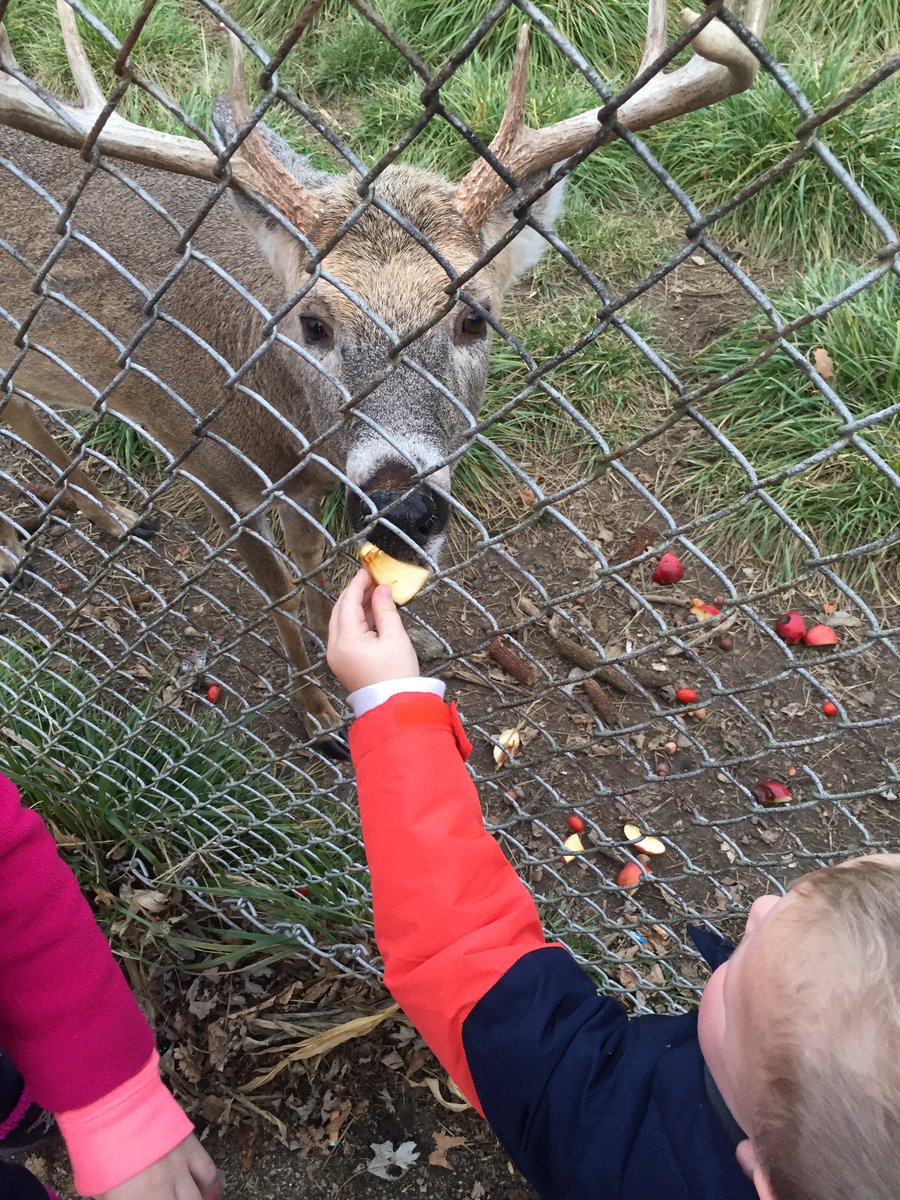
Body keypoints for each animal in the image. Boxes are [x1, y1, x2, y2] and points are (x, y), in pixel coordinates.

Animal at [0, 0, 771, 753]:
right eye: (312, 323)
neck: (281, 430)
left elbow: (313, 563)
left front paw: (339, 655)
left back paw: (113, 520)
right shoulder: (213, 465)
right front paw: (314, 712)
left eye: (475, 317)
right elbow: (279, 590)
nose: (402, 509)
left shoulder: (306, 487)